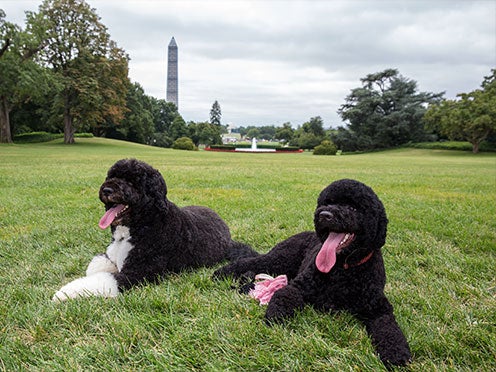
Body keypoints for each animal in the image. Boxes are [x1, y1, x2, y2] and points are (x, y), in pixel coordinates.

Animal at [215, 179, 412, 366]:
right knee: (251, 262)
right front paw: (275, 317)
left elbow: (389, 329)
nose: (325, 215)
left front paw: (396, 353)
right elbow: (284, 296)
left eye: (352, 207)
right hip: (279, 259)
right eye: (327, 202)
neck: (343, 269)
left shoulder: (379, 308)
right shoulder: (298, 287)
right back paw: (221, 273)